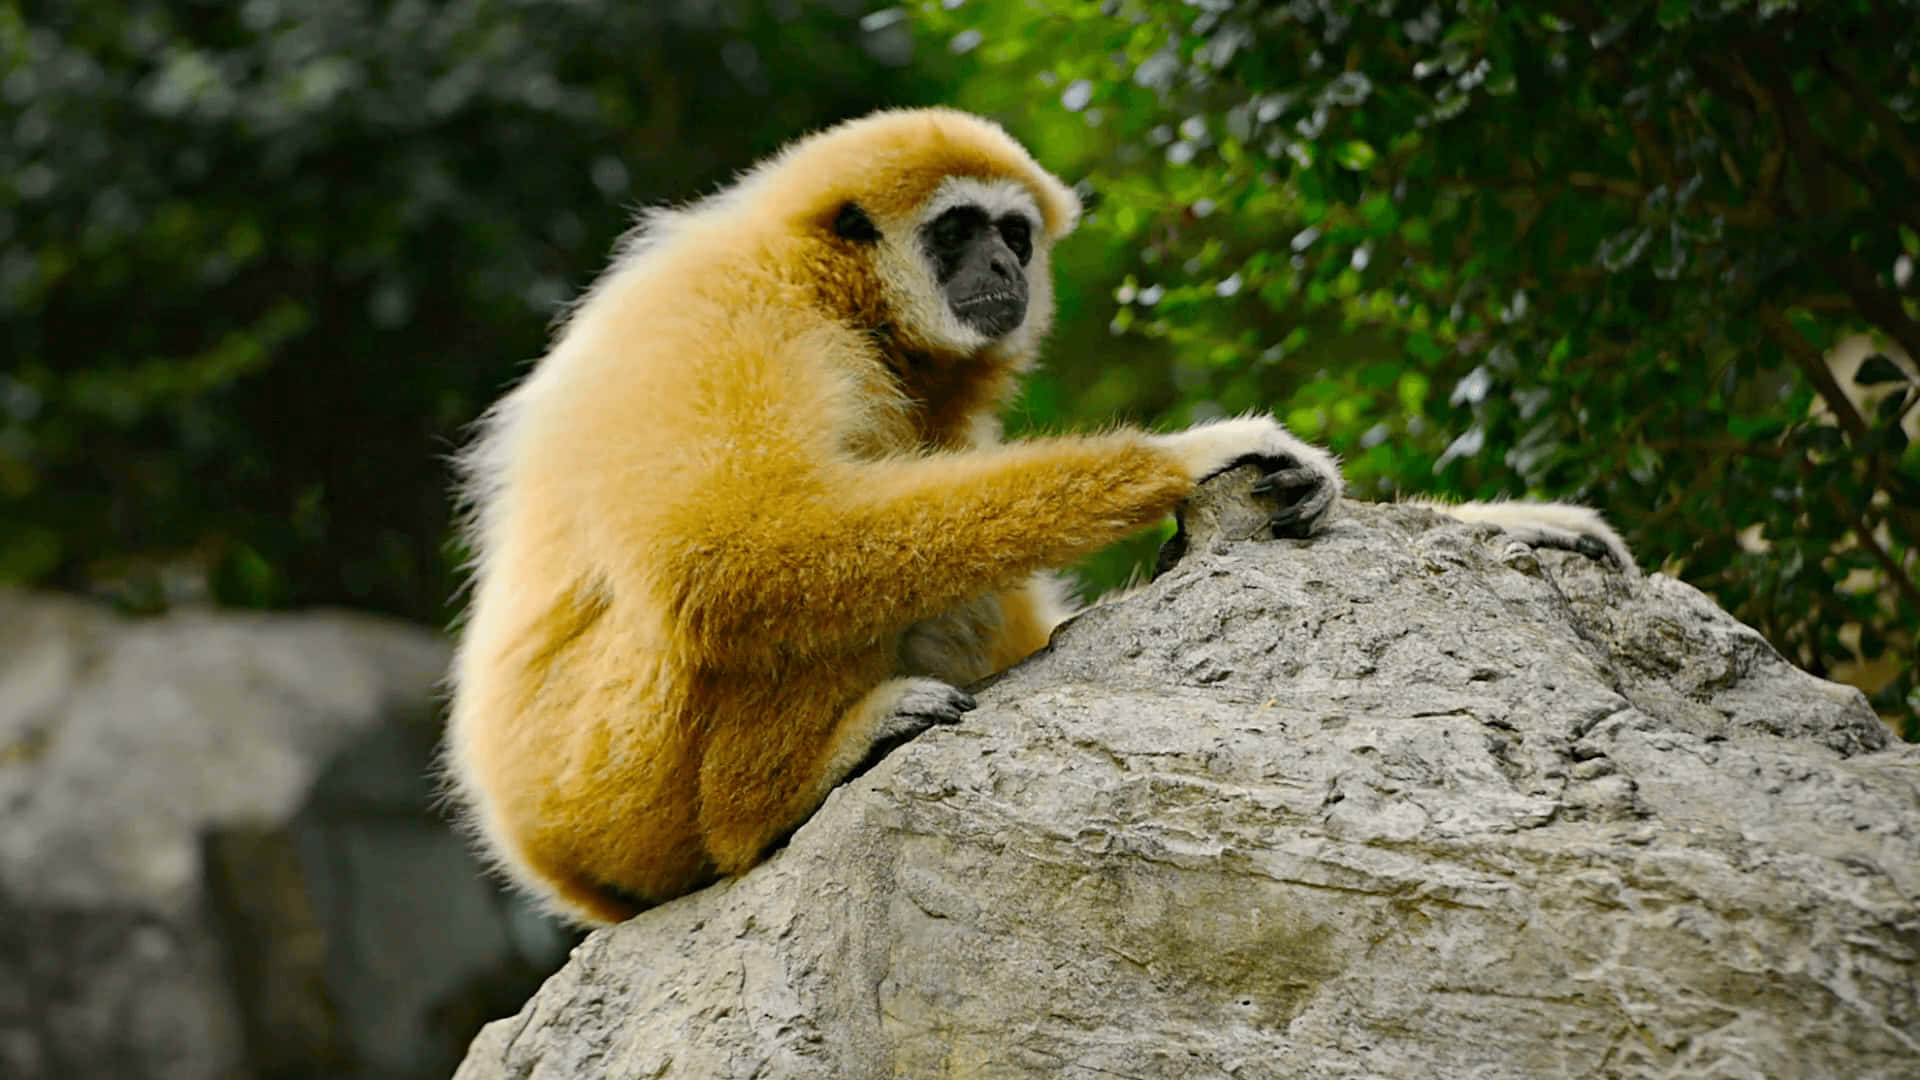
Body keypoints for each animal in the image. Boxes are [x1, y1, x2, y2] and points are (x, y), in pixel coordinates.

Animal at [444, 108, 1630, 926]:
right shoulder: (728, 314)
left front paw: (1512, 520)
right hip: (609, 778)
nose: (1003, 261)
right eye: (959, 229)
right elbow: (731, 546)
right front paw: (1194, 453)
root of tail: (539, 851)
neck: (837, 296)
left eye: (1014, 231)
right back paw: (785, 792)